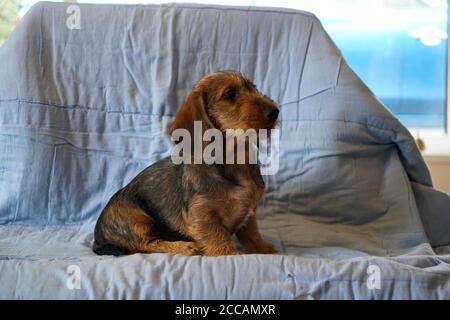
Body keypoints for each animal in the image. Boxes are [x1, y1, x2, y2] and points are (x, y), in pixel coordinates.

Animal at [93, 71, 280, 256]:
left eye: (254, 87)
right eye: (230, 94)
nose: (275, 111)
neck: (235, 161)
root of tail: (98, 238)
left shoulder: (250, 212)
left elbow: (251, 232)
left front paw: (262, 247)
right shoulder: (201, 214)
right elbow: (217, 235)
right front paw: (230, 253)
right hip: (138, 219)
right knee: (146, 244)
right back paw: (184, 247)